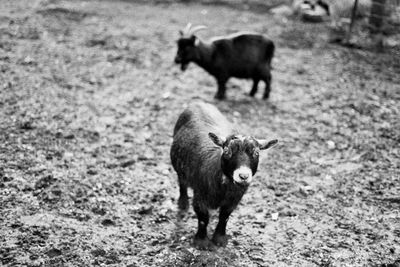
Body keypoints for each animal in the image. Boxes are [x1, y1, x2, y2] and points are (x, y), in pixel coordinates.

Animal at [170, 101, 278, 250]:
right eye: (227, 151)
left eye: (256, 153)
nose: (243, 176)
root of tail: (198, 102)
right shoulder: (200, 195)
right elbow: (203, 218)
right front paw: (201, 242)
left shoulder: (234, 199)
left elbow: (224, 217)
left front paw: (220, 239)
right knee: (182, 182)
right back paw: (183, 203)